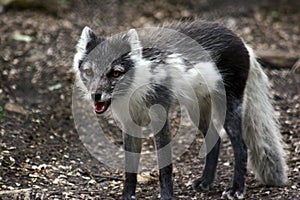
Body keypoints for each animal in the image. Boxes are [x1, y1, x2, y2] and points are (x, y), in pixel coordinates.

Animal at [72, 21, 286, 199]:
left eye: (116, 73)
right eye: (89, 72)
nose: (95, 95)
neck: (136, 88)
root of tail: (242, 41)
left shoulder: (160, 119)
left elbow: (165, 166)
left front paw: (166, 196)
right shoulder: (130, 125)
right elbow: (130, 168)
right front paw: (127, 196)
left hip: (230, 110)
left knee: (241, 146)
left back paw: (236, 190)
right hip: (196, 112)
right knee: (214, 139)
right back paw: (205, 182)